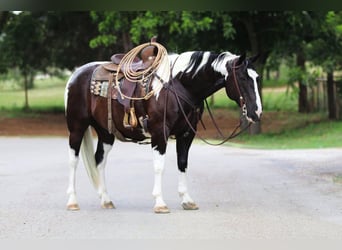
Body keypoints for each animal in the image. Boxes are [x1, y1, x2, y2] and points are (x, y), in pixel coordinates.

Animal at [64, 45, 262, 213]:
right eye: (243, 78)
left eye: (257, 78)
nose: (256, 111)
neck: (179, 85)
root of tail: (76, 75)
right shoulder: (160, 133)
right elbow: (159, 167)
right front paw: (160, 203)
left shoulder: (187, 134)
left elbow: (182, 163)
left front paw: (187, 200)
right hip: (77, 128)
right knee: (73, 161)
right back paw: (72, 201)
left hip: (106, 132)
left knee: (100, 160)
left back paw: (106, 200)